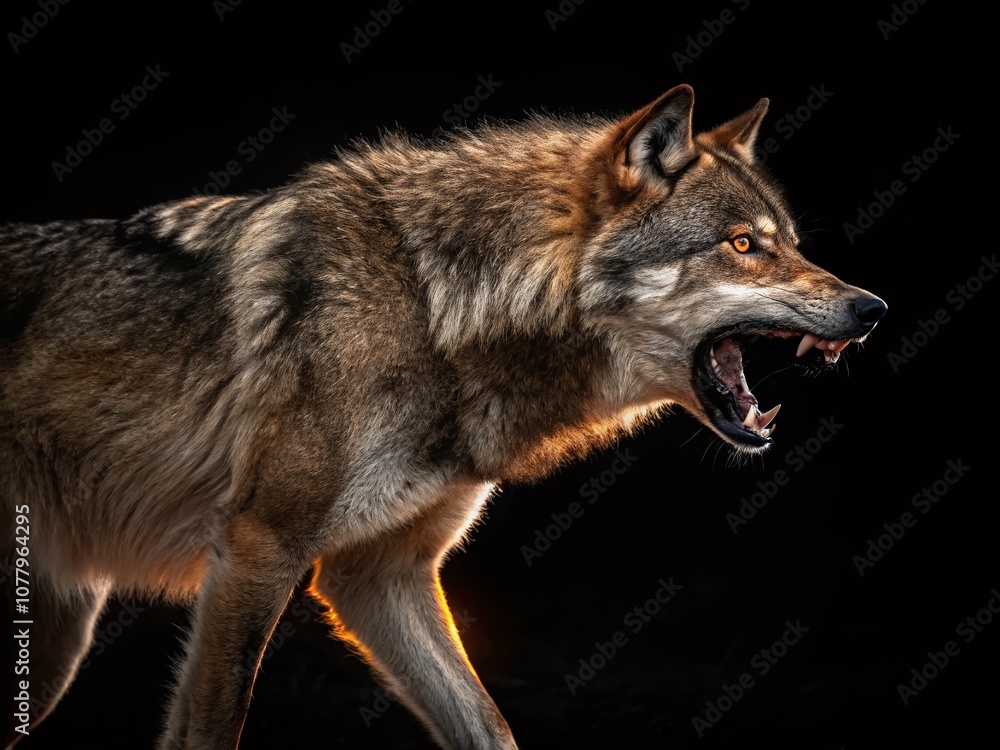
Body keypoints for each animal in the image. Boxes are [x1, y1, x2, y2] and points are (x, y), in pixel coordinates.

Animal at [1, 84, 885, 749]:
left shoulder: (379, 575)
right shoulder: (259, 549)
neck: (434, 305)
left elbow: (489, 728)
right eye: (741, 244)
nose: (872, 309)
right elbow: (211, 729)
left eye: (790, 242)